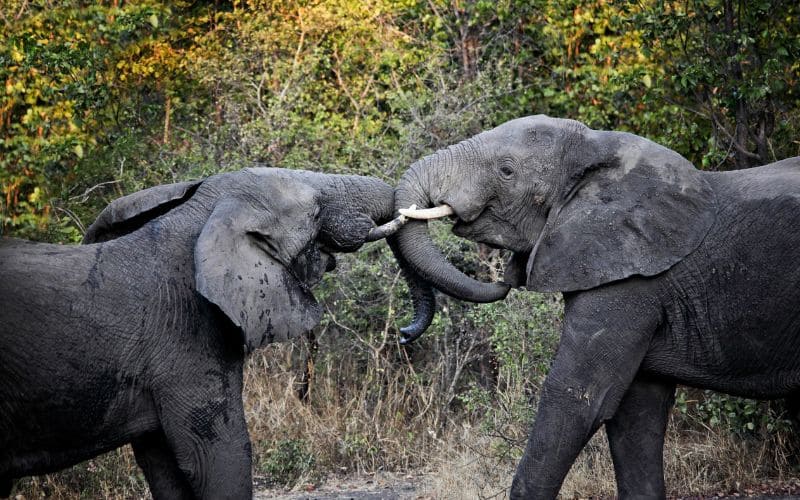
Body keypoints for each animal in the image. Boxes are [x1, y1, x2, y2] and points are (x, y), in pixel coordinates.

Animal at [391, 115, 800, 498]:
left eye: (506, 171)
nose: (403, 334)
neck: (596, 147)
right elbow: (636, 410)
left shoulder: (630, 281)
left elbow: (577, 398)